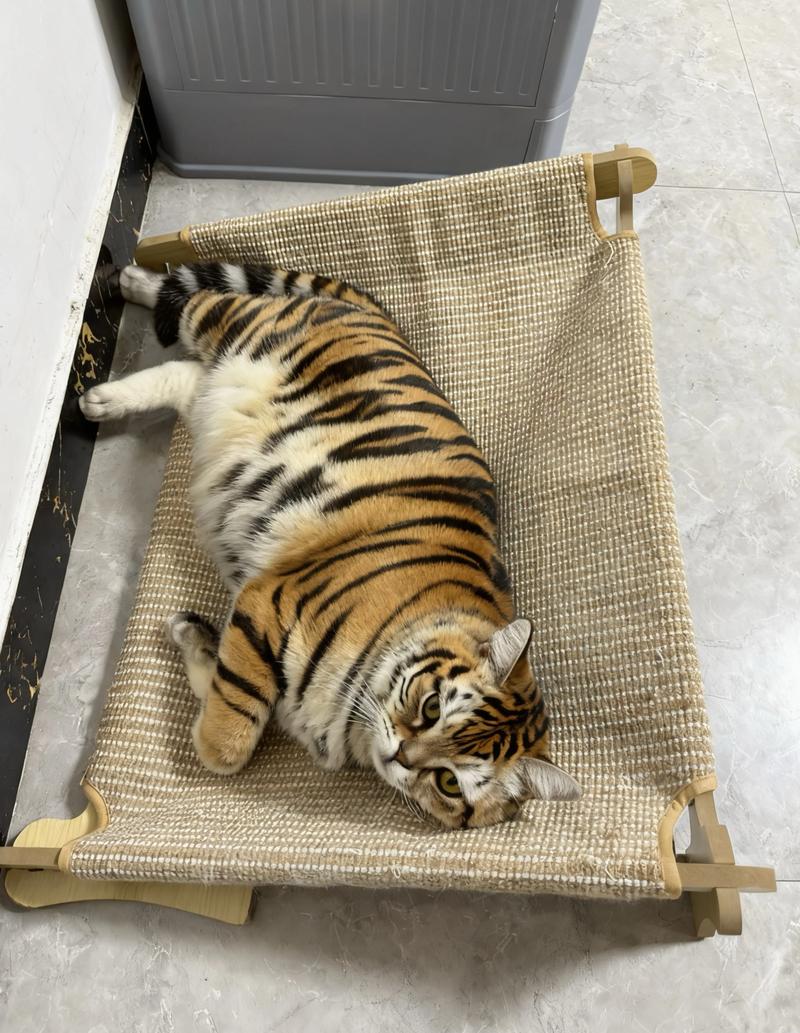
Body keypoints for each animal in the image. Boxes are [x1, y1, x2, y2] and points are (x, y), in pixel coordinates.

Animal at [79, 260, 581, 829]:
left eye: (449, 782)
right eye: (432, 707)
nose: (402, 757)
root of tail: (379, 320)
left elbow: (234, 694)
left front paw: (194, 637)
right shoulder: (267, 600)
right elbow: (230, 743)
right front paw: (206, 735)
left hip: (219, 394)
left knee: (191, 378)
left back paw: (103, 397)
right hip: (237, 324)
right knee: (192, 303)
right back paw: (126, 290)